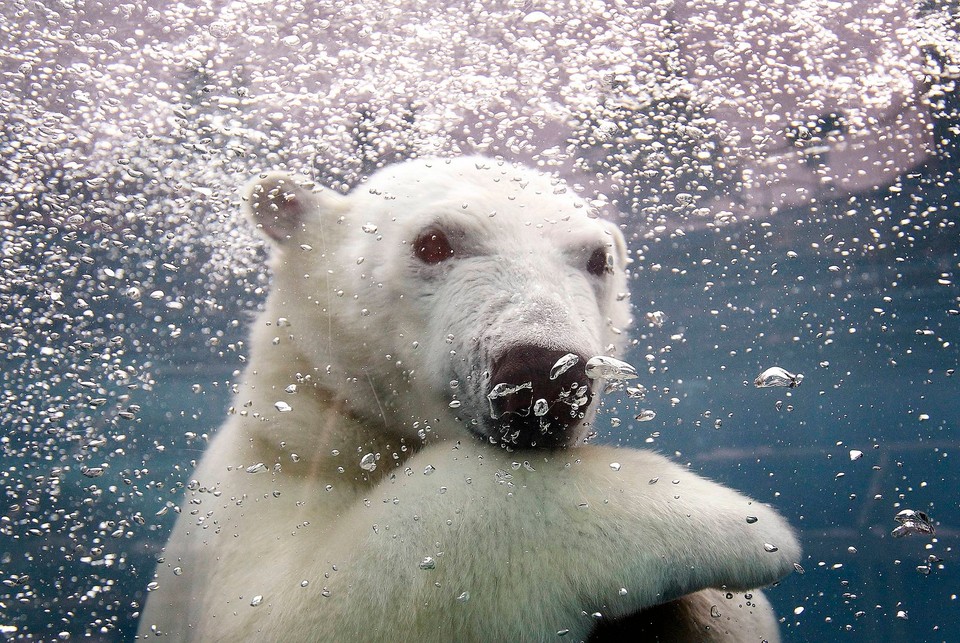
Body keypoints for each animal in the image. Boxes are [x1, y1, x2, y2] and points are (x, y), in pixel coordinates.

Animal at [139, 157, 800, 643]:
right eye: (433, 243)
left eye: (598, 258)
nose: (543, 377)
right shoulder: (258, 484)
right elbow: (297, 609)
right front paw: (727, 521)